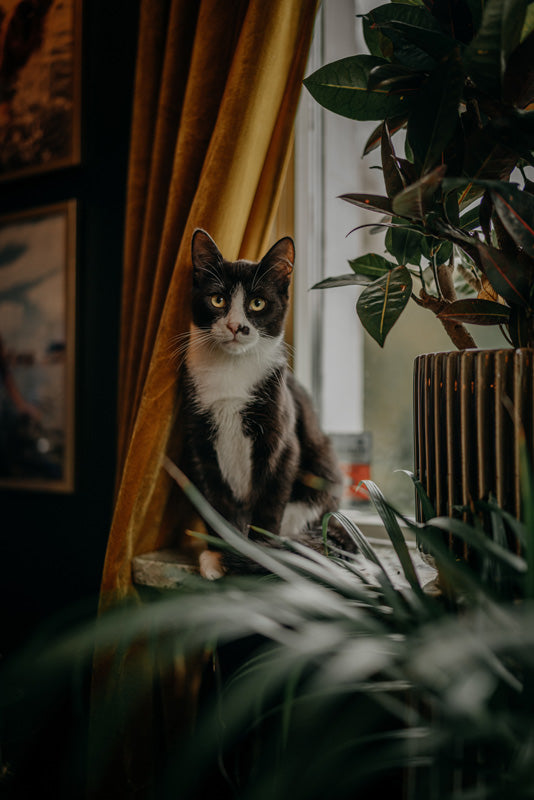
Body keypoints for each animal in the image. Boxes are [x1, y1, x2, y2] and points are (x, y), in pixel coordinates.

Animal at [182, 228, 346, 580]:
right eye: (217, 299)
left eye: (257, 303)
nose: (235, 326)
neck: (232, 371)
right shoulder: (199, 444)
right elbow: (216, 502)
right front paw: (219, 555)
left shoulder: (282, 442)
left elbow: (269, 504)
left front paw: (261, 556)